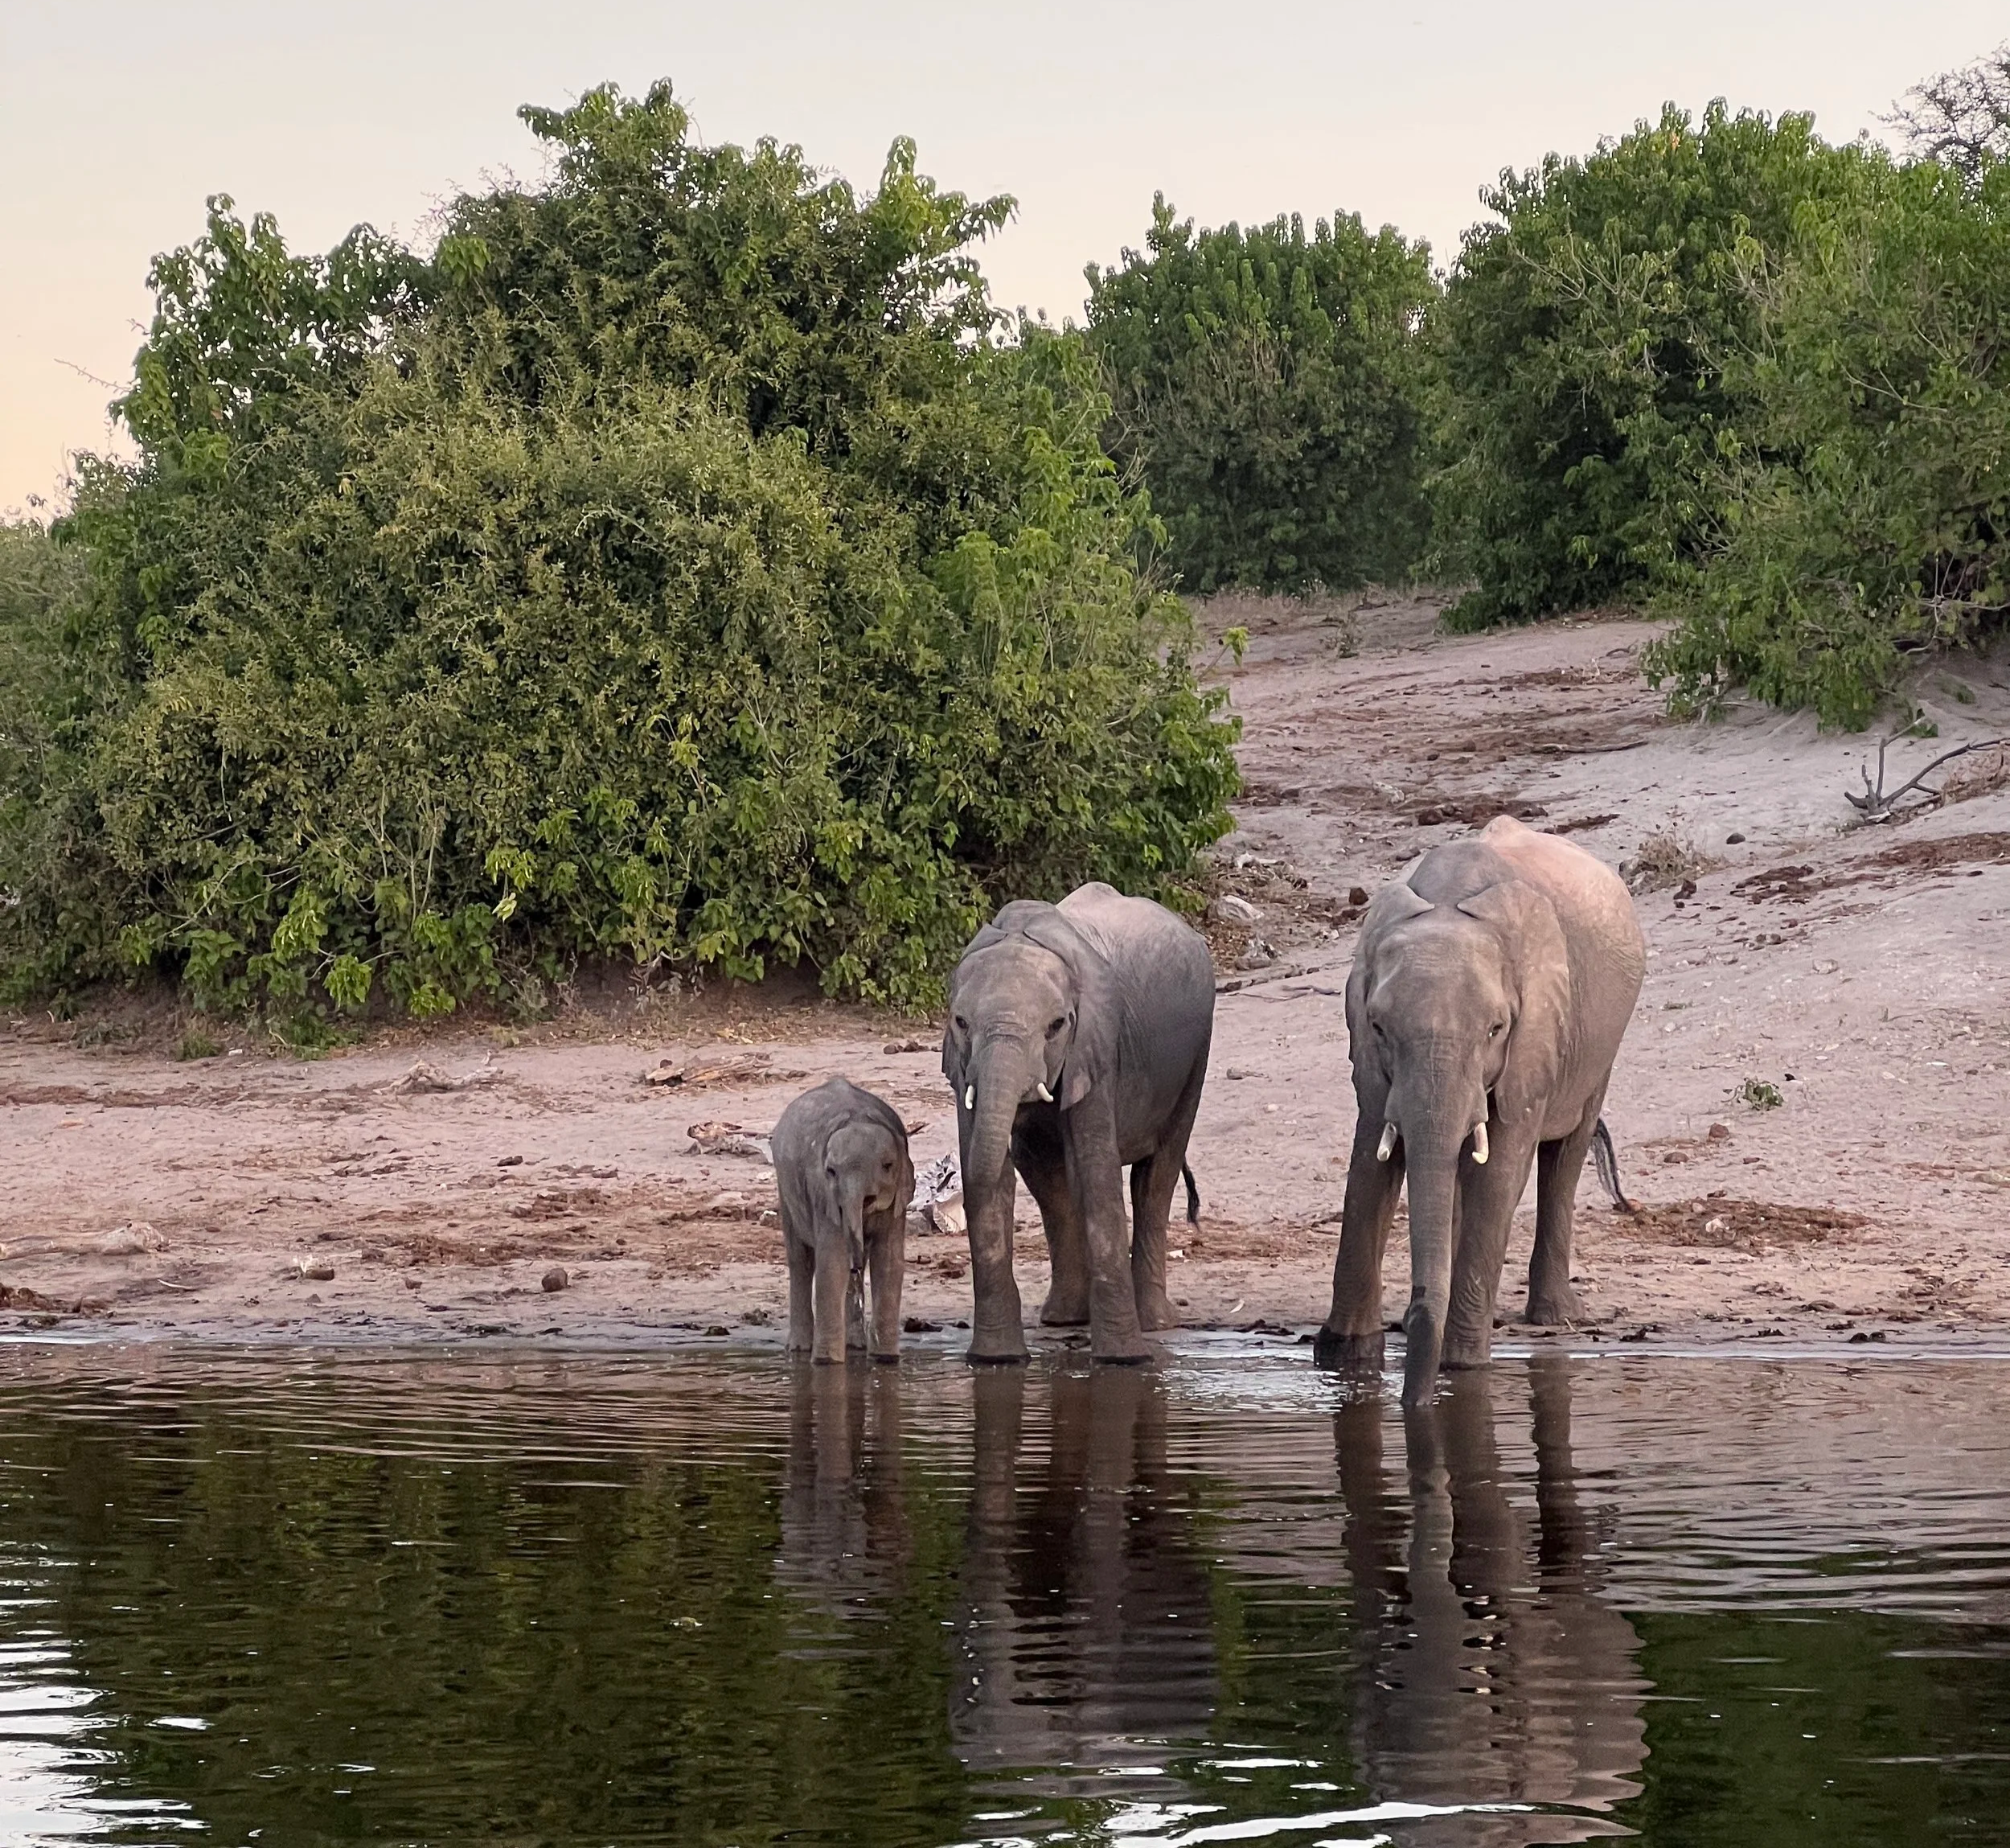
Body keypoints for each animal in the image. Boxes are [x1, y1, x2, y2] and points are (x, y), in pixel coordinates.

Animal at [771, 1076, 914, 1364]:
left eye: (888, 1166)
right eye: (831, 1171)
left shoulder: (897, 1202)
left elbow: (888, 1262)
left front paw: (886, 1360)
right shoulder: (823, 1195)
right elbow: (832, 1262)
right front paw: (826, 1363)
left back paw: (855, 1345)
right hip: (785, 1189)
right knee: (800, 1260)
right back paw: (799, 1349)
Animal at [942, 882, 1213, 1363]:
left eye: (1056, 1026)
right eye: (961, 1022)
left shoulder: (1097, 1046)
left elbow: (1094, 1173)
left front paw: (1124, 1361)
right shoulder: (963, 1066)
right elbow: (998, 1180)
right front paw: (997, 1361)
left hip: (1195, 1057)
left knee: (1156, 1177)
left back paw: (1154, 1325)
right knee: (1048, 1177)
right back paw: (1065, 1319)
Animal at [1314, 815, 1645, 1406]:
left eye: (1495, 1029)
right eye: (1378, 1027)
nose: (1414, 1402)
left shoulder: (1535, 1035)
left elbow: (1501, 1171)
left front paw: (1463, 1368)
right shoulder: (1371, 1063)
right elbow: (1372, 1158)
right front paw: (1346, 1357)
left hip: (1600, 1044)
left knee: (1566, 1154)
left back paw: (1555, 1318)